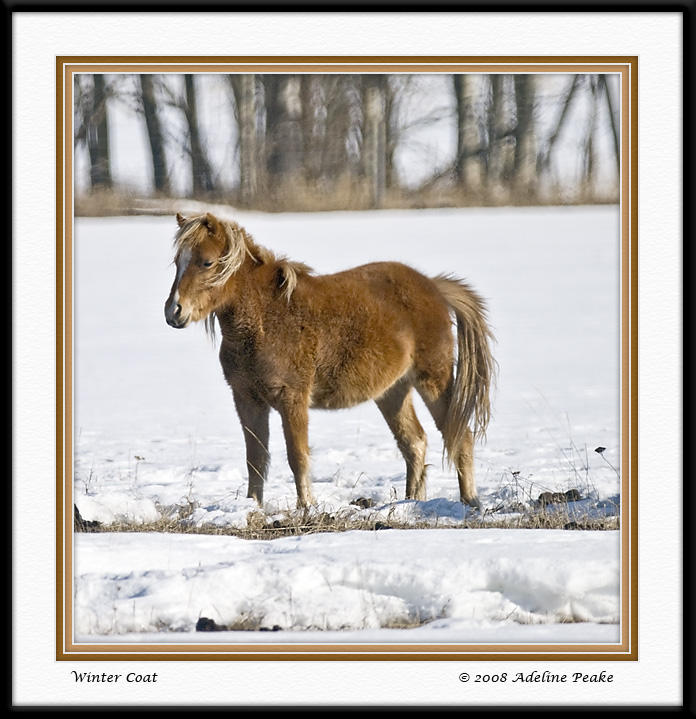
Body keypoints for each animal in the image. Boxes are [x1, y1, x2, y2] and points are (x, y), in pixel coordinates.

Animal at [164, 211, 494, 510]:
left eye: (207, 262)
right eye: (177, 262)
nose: (173, 312)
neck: (265, 319)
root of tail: (434, 286)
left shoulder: (292, 397)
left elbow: (297, 456)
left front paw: (307, 506)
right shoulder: (247, 399)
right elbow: (255, 458)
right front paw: (252, 506)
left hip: (433, 379)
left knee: (459, 435)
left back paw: (469, 501)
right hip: (393, 391)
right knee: (414, 443)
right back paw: (411, 502)